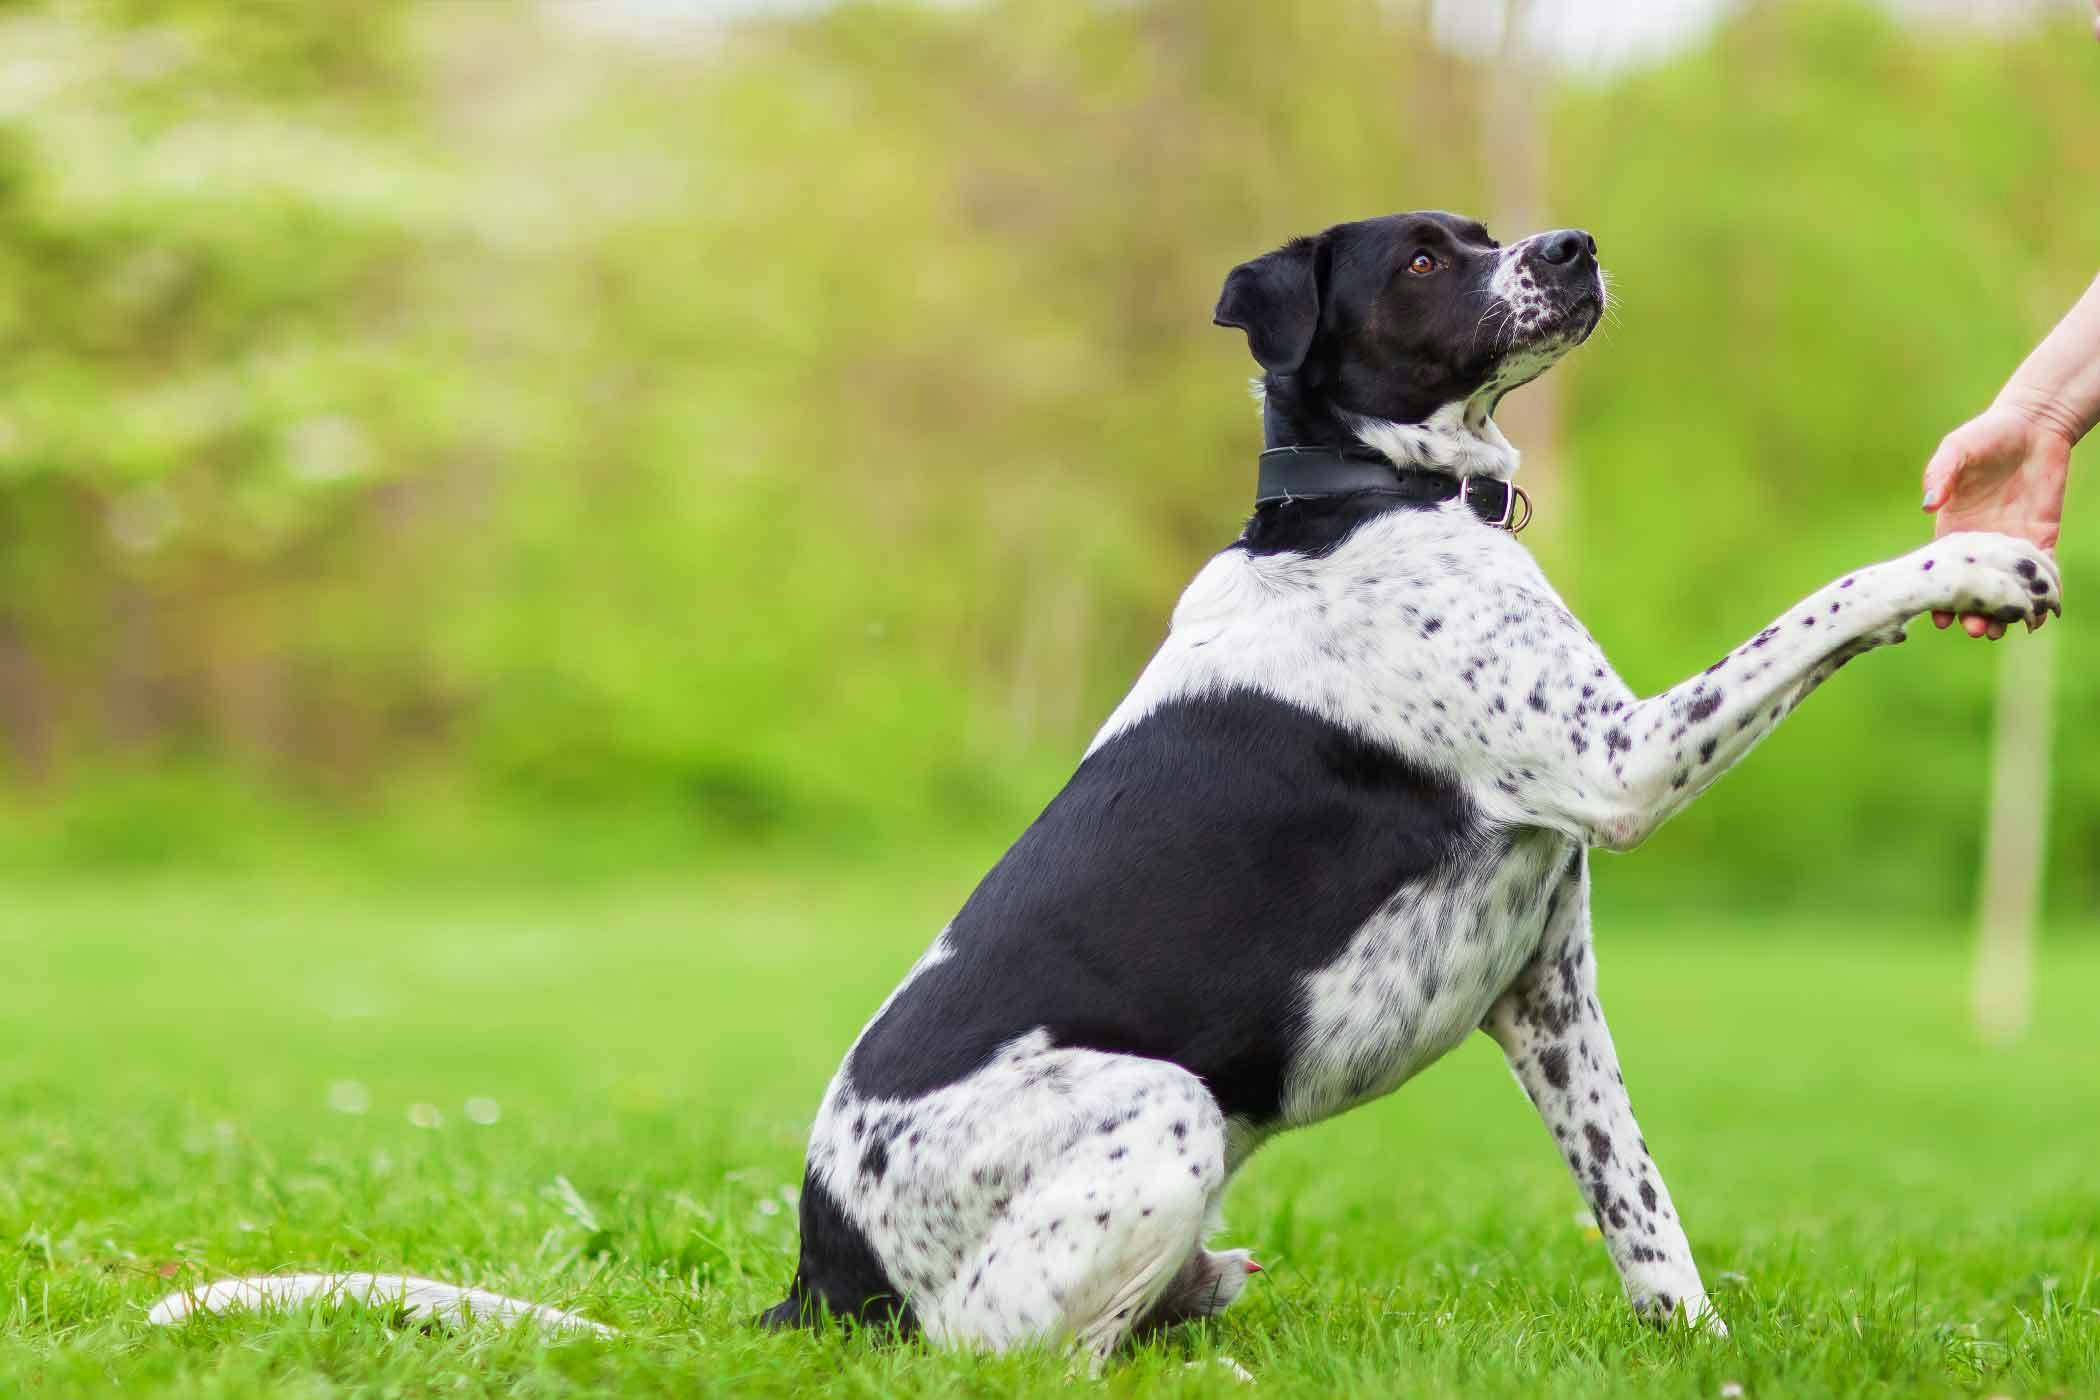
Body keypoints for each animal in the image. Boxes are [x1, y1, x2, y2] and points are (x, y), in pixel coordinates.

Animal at [751, 214, 2049, 1360]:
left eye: (1480, 233)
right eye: (1423, 259)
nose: (1573, 244)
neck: (1371, 498)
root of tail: (818, 1276)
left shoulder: (1547, 989)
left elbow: (1638, 1202)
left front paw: (1699, 1348)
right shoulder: (1617, 758)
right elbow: (1832, 601)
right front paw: (1975, 558)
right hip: (1163, 1114)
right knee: (1006, 1347)